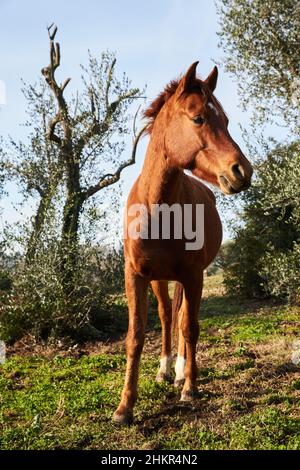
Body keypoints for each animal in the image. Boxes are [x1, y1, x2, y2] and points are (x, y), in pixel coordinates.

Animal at [113, 60, 252, 424]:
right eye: (198, 118)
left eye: (226, 121)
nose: (242, 171)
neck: (157, 209)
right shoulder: (135, 276)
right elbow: (135, 336)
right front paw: (124, 406)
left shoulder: (193, 276)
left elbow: (189, 327)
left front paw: (190, 388)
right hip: (160, 279)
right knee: (166, 316)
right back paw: (164, 370)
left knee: (181, 319)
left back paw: (179, 372)